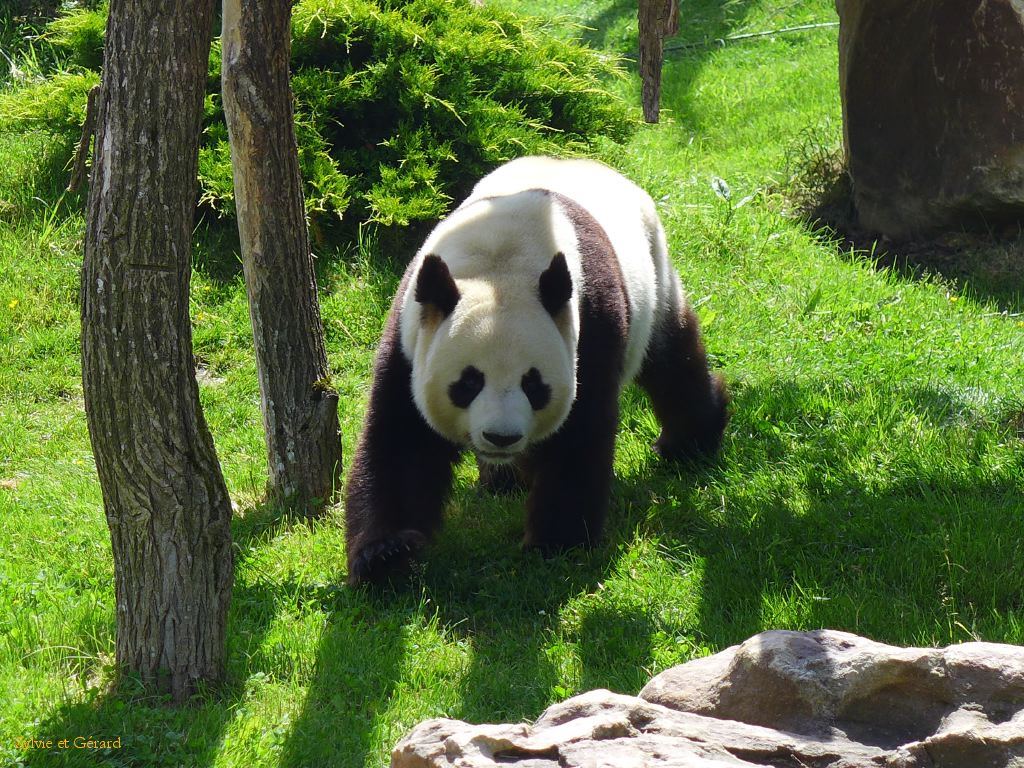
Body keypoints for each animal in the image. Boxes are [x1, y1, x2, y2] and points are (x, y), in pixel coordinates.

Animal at [345, 156, 728, 584]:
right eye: (468, 382)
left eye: (534, 384)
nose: (501, 437)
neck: (499, 265)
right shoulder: (411, 334)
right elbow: (401, 439)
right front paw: (386, 556)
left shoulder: (588, 325)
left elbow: (578, 434)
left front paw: (557, 546)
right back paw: (504, 481)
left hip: (655, 276)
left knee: (671, 361)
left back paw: (689, 444)